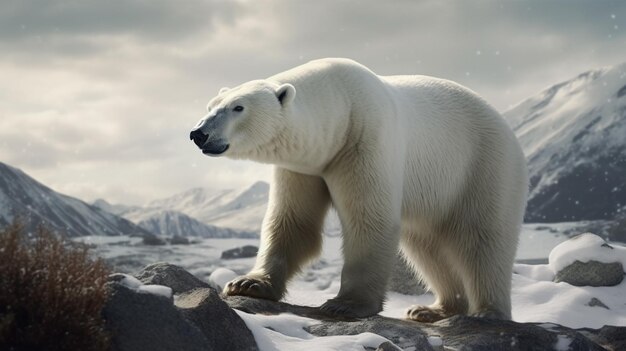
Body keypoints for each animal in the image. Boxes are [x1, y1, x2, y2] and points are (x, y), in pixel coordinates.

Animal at [188, 57, 524, 322]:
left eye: (238, 107)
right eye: (210, 106)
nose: (198, 133)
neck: (341, 106)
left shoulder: (364, 140)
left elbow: (369, 219)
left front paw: (345, 305)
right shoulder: (303, 166)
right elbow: (293, 222)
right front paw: (247, 284)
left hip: (482, 166)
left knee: (482, 238)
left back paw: (487, 312)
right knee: (427, 246)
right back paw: (434, 309)